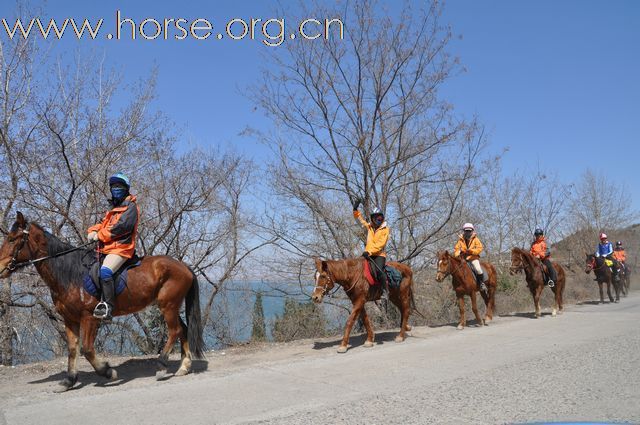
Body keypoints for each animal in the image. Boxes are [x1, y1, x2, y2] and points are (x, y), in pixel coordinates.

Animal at [0, 212, 205, 390]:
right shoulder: (70, 319)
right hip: (171, 306)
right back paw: (184, 367)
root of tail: (183, 266)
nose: (1, 268)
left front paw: (108, 372)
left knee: (175, 331)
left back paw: (162, 366)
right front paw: (69, 381)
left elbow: (87, 349)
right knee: (183, 329)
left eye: (12, 239)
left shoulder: (89, 317)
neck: (71, 274)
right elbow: (73, 349)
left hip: (168, 306)